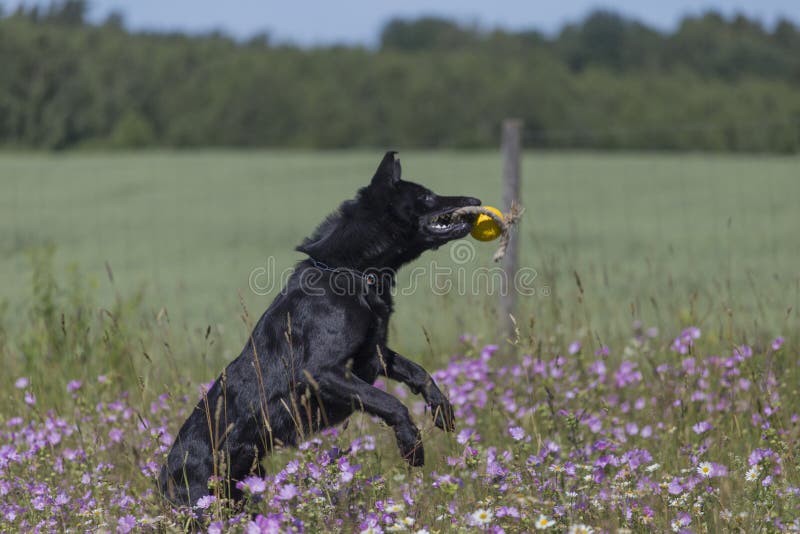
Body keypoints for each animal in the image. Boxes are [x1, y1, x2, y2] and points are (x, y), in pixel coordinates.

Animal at [159, 151, 478, 506]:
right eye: (426, 197)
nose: (475, 201)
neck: (350, 271)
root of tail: (162, 481)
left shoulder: (374, 353)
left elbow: (419, 372)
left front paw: (442, 409)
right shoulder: (323, 372)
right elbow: (389, 402)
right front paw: (412, 444)